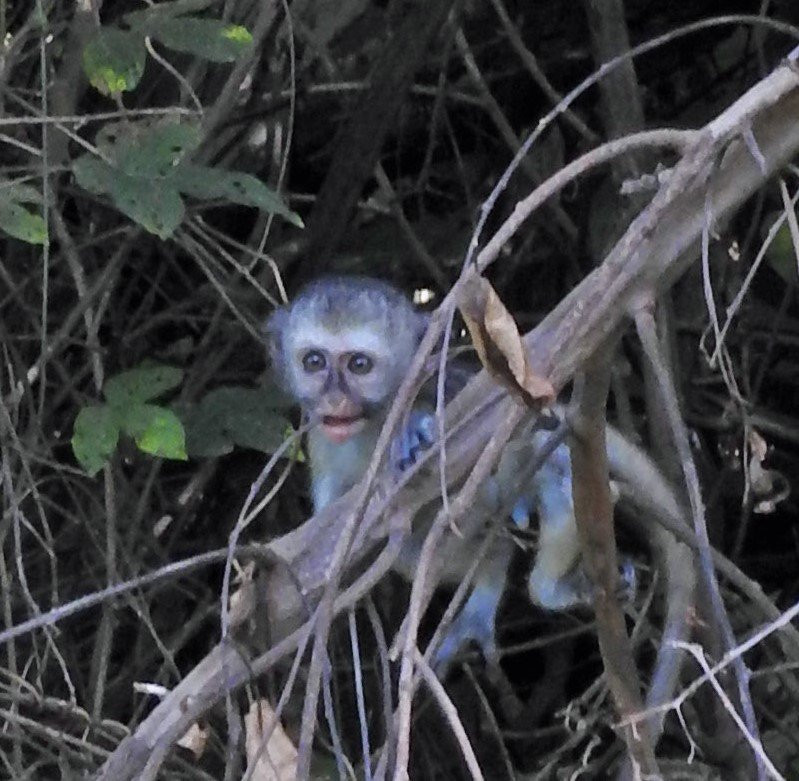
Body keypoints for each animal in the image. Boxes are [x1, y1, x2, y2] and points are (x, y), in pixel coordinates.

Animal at [266, 276, 692, 672]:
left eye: (359, 365)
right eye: (315, 362)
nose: (334, 399)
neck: (375, 422)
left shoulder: (454, 396)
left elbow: (494, 465)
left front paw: (413, 429)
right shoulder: (322, 447)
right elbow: (329, 553)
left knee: (547, 480)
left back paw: (547, 586)